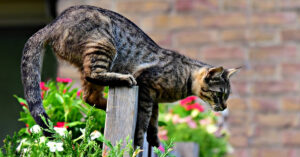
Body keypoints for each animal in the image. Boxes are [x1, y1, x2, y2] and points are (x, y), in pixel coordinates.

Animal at [19, 4, 238, 147]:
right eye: (220, 94)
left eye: (226, 96)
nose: (225, 106)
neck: (185, 78)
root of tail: (52, 25)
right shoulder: (147, 88)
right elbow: (143, 121)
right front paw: (141, 141)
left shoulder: (154, 99)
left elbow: (154, 121)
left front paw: (155, 139)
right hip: (103, 45)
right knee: (94, 75)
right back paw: (123, 79)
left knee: (89, 96)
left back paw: (107, 105)